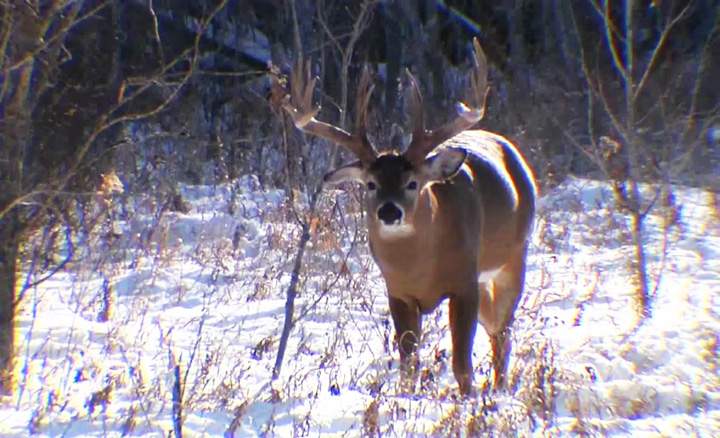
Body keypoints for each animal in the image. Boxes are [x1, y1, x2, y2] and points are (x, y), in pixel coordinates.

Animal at [281, 39, 537, 395]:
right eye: (371, 184)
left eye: (412, 183)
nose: (389, 211)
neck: (420, 266)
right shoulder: (398, 292)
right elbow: (408, 364)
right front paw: (407, 398)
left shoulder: (464, 282)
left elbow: (462, 365)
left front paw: (469, 400)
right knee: (496, 327)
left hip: (513, 258)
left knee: (503, 329)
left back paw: (500, 388)